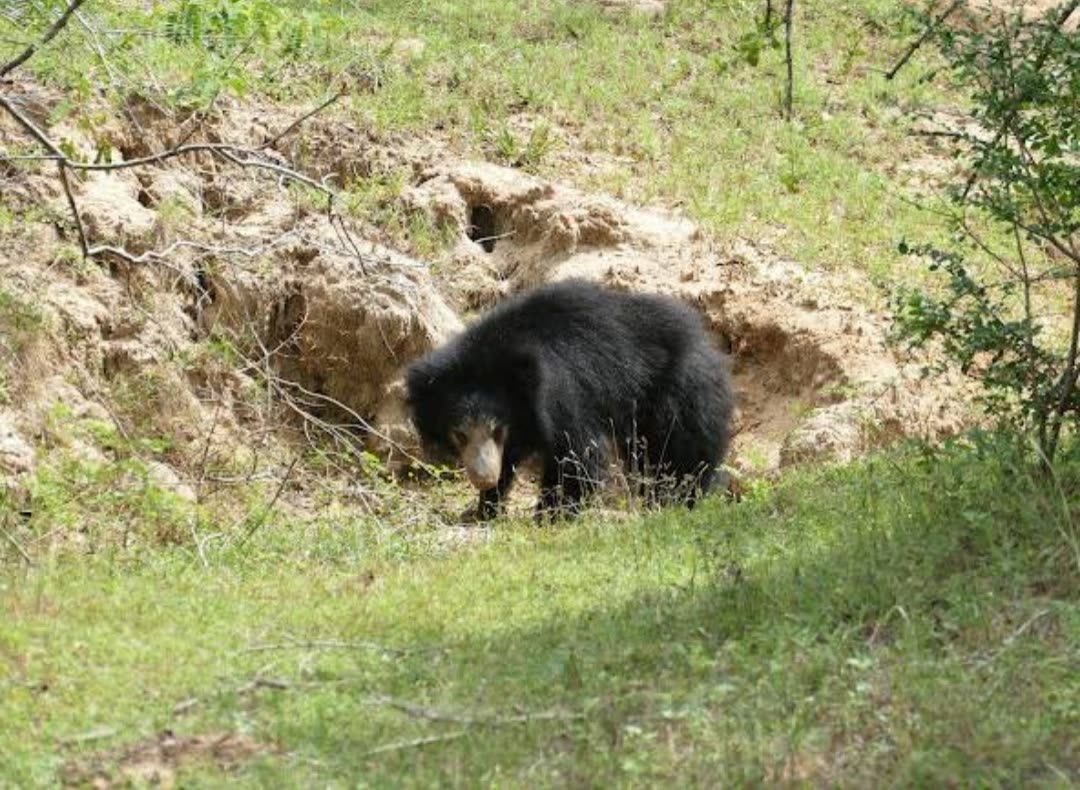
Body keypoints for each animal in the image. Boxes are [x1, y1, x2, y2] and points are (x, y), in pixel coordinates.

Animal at [405, 279, 734, 521]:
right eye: (459, 434)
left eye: (497, 430)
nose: (483, 477)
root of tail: (707, 344)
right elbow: (511, 458)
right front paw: (485, 508)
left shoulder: (563, 393)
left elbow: (577, 453)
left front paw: (549, 516)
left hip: (680, 392)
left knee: (682, 450)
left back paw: (677, 499)